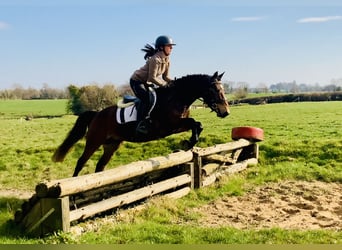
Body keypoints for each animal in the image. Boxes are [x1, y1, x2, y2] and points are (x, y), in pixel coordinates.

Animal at [51, 71, 230, 177]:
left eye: (223, 89)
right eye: (214, 90)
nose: (225, 112)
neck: (177, 97)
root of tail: (97, 114)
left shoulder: (177, 126)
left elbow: (197, 124)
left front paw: (189, 142)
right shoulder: (168, 125)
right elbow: (194, 123)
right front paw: (189, 142)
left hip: (111, 144)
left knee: (100, 166)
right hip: (94, 141)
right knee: (81, 162)